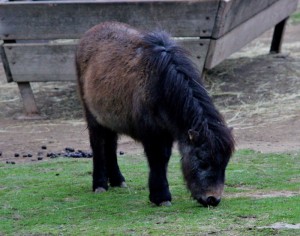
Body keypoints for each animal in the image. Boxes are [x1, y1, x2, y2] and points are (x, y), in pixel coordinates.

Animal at [75, 22, 234, 206]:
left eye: (225, 163)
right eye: (202, 162)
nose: (213, 199)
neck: (162, 85)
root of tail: (89, 34)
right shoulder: (153, 133)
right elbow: (158, 158)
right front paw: (161, 196)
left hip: (109, 118)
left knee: (111, 144)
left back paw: (117, 180)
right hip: (93, 116)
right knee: (98, 143)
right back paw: (100, 184)